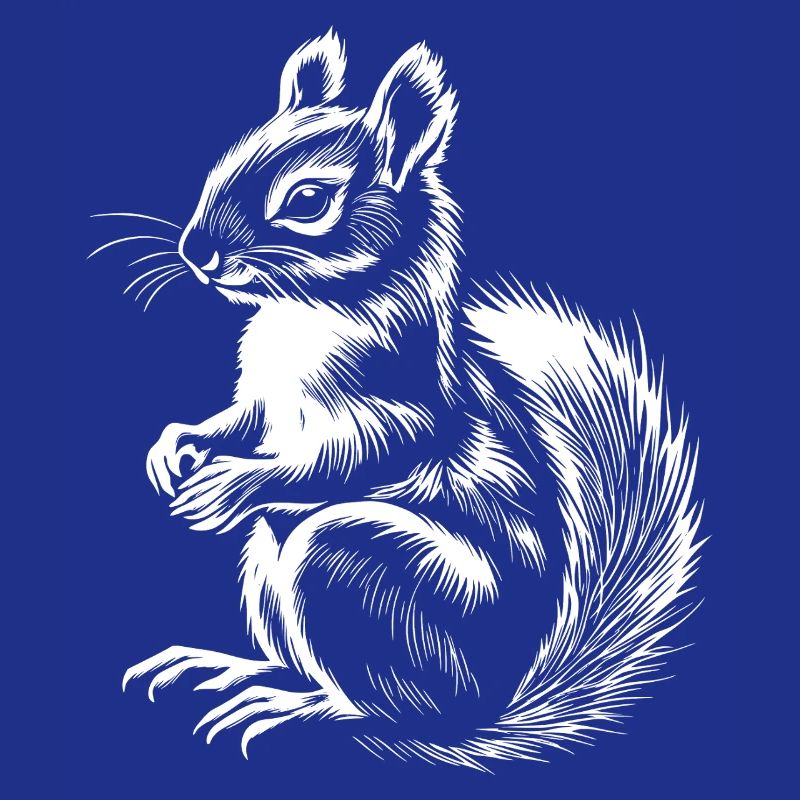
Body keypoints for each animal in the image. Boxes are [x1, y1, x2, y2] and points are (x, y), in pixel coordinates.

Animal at [116, 31, 702, 768]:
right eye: (224, 162)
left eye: (307, 201)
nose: (197, 252)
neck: (298, 315)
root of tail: (497, 706)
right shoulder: (261, 400)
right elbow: (237, 422)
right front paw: (175, 447)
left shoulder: (403, 412)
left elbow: (347, 457)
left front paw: (230, 485)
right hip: (268, 565)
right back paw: (232, 668)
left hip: (353, 566)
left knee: (396, 714)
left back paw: (294, 707)